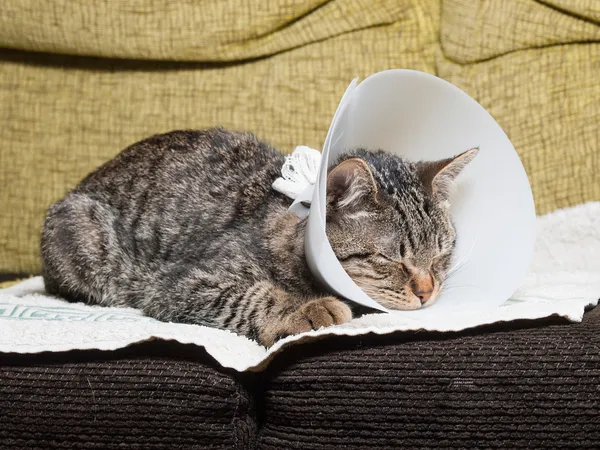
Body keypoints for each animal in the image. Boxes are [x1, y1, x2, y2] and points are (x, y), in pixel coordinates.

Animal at [39, 128, 478, 346]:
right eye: (390, 260)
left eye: (441, 256)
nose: (427, 291)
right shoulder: (178, 283)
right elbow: (250, 295)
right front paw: (304, 310)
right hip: (81, 234)